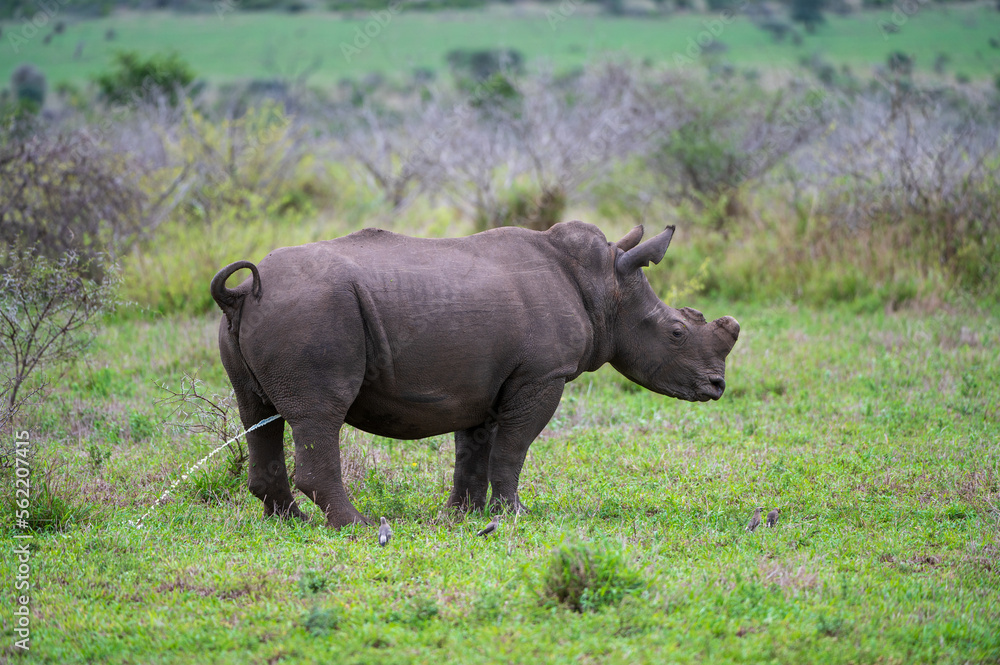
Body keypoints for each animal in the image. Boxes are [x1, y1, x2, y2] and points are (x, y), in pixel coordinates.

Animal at [211, 221, 739, 527]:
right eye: (676, 333)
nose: (717, 386)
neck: (605, 286)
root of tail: (242, 293)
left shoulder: (478, 380)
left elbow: (474, 450)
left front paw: (461, 515)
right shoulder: (541, 375)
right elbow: (513, 448)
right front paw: (515, 514)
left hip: (267, 318)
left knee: (257, 411)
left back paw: (290, 521)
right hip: (315, 312)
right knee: (319, 414)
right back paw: (357, 526)